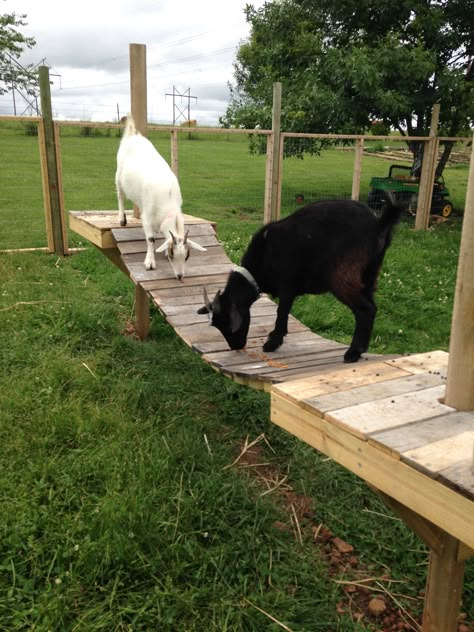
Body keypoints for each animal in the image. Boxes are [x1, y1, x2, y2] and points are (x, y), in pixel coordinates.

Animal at [115, 116, 206, 278]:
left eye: (187, 256)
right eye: (171, 254)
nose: (180, 276)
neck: (169, 205)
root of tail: (132, 135)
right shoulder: (147, 217)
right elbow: (150, 239)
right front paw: (150, 263)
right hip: (118, 176)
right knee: (120, 195)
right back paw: (122, 219)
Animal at [196, 193, 400, 362]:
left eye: (227, 321)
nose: (235, 346)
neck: (263, 256)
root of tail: (379, 225)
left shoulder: (287, 285)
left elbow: (282, 312)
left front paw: (272, 343)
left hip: (343, 275)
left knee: (364, 309)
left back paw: (353, 353)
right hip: (369, 275)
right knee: (372, 307)